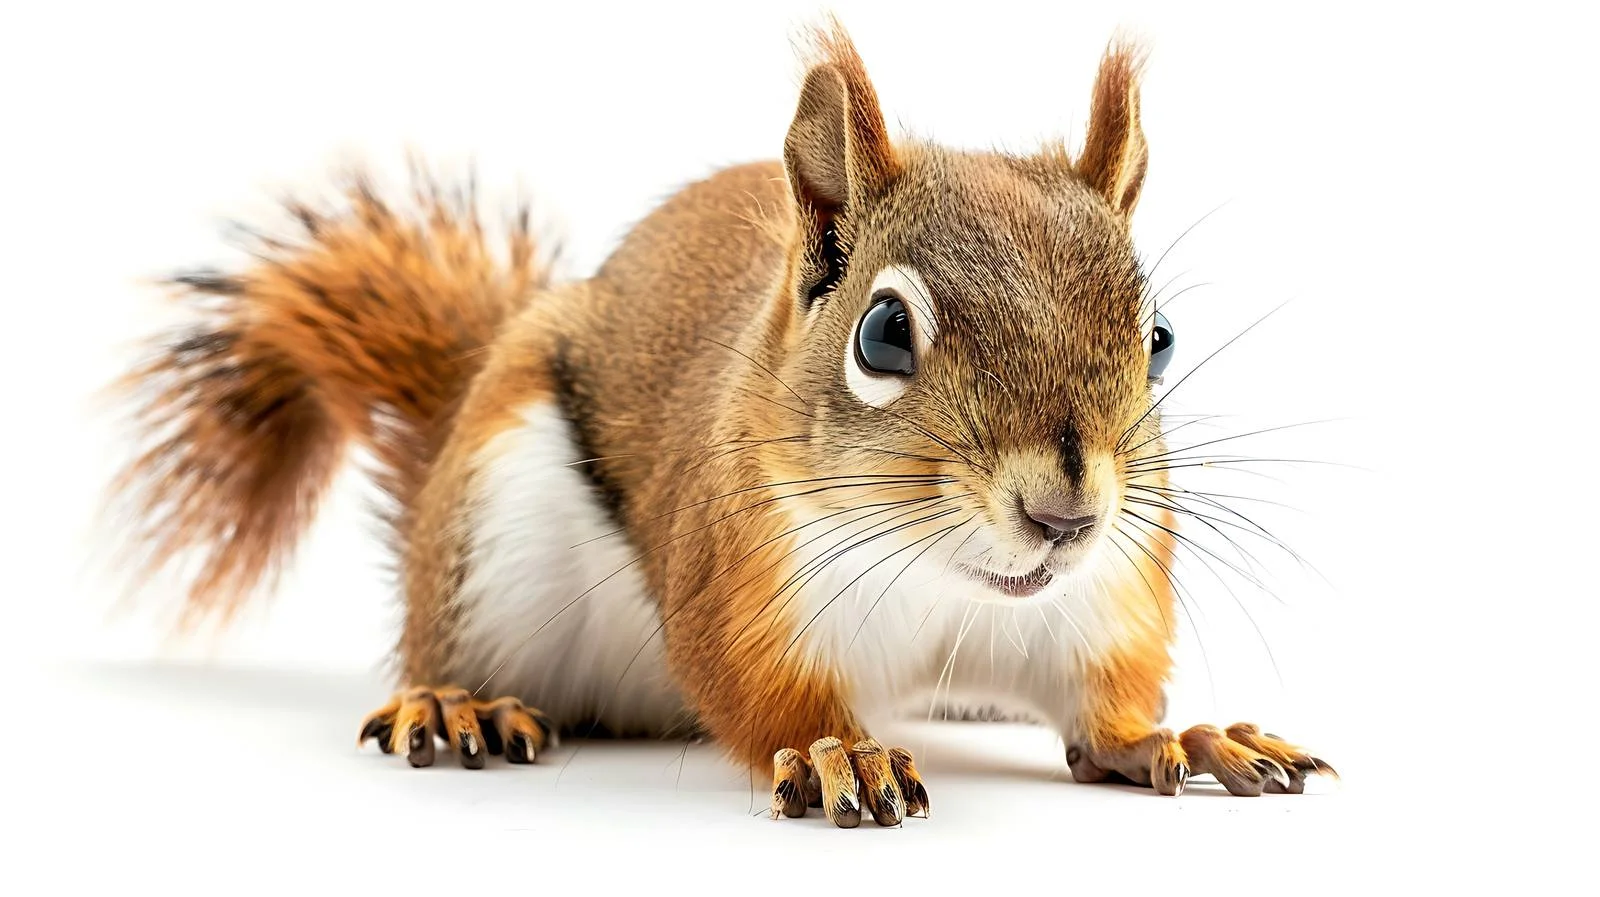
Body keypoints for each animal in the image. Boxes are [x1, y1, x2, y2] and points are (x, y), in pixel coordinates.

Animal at [105, 20, 1334, 827]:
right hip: (485, 531)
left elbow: (1106, 715)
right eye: (884, 334)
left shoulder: (1103, 599)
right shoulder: (736, 576)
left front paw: (1188, 735)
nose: (1064, 514)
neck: (939, 577)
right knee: (442, 643)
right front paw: (842, 753)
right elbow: (757, 689)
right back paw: (454, 702)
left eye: (1160, 337)